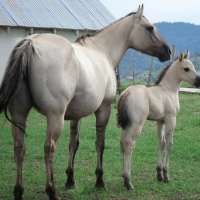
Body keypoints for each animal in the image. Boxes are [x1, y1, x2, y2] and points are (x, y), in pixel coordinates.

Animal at [0, 4, 170, 200]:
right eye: (149, 28)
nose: (167, 51)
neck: (102, 50)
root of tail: (30, 43)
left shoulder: (76, 115)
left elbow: (74, 144)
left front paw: (70, 180)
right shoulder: (104, 109)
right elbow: (100, 144)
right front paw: (100, 181)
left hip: (19, 114)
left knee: (19, 147)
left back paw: (19, 191)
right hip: (55, 117)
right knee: (49, 148)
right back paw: (51, 191)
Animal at [117, 51, 200, 191]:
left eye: (193, 66)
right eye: (186, 68)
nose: (198, 81)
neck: (168, 90)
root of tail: (126, 93)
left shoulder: (160, 121)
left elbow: (161, 143)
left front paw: (159, 174)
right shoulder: (171, 119)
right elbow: (169, 143)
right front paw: (166, 175)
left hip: (127, 125)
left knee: (122, 143)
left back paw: (124, 178)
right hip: (137, 124)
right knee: (129, 144)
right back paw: (128, 182)